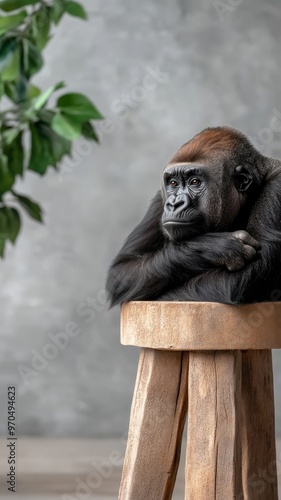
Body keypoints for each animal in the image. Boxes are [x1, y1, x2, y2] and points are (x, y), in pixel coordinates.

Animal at [105, 126, 280, 304]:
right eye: (173, 183)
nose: (174, 203)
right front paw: (216, 247)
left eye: (195, 182)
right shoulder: (160, 198)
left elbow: (235, 284)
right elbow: (123, 272)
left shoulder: (276, 185)